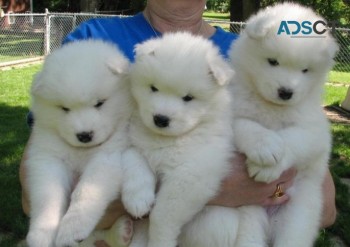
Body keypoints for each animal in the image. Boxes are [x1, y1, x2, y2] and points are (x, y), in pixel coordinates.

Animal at [25, 39, 133, 247]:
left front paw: (72, 228)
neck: (82, 151)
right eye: (64, 108)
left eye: (99, 103)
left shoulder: (108, 157)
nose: (84, 135)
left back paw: (121, 232)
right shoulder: (47, 158)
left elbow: (86, 190)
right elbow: (47, 196)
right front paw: (41, 234)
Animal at [124, 32, 234, 247]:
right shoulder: (134, 140)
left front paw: (160, 240)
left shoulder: (191, 174)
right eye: (153, 88)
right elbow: (135, 160)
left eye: (188, 98)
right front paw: (137, 199)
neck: (166, 139)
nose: (160, 119)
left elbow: (162, 215)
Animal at [228, 3, 338, 247]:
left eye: (305, 70)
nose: (286, 92)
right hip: (249, 212)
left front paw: (268, 167)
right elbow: (246, 125)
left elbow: (292, 140)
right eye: (272, 61)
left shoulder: (315, 131)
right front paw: (265, 147)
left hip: (297, 217)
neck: (272, 107)